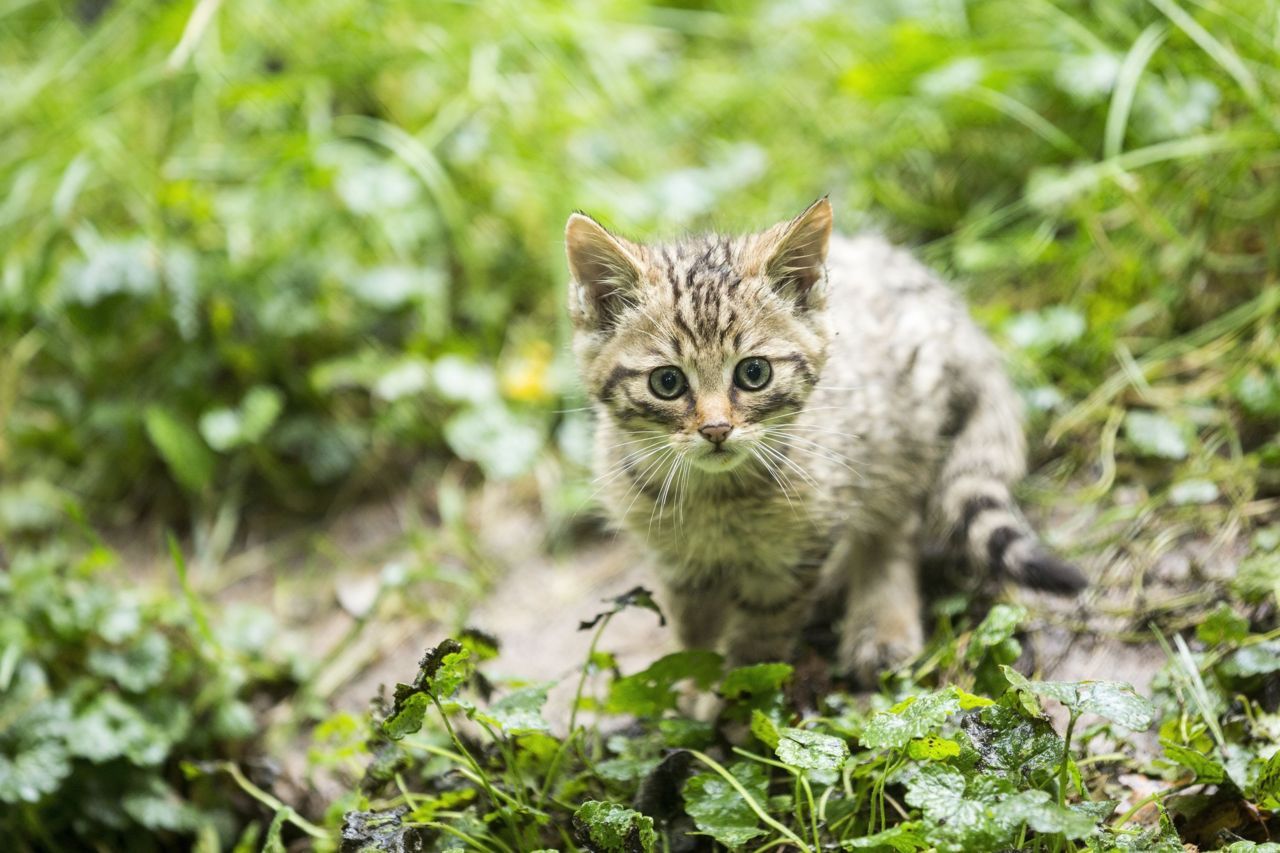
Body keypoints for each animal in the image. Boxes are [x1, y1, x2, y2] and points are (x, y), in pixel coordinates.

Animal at [565, 199, 1085, 686]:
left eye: (754, 373)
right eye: (667, 382)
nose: (715, 429)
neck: (716, 501)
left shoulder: (794, 555)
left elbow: (759, 642)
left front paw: (733, 701)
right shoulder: (678, 565)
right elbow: (695, 636)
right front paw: (692, 692)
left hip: (902, 431)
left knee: (894, 525)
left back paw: (881, 624)